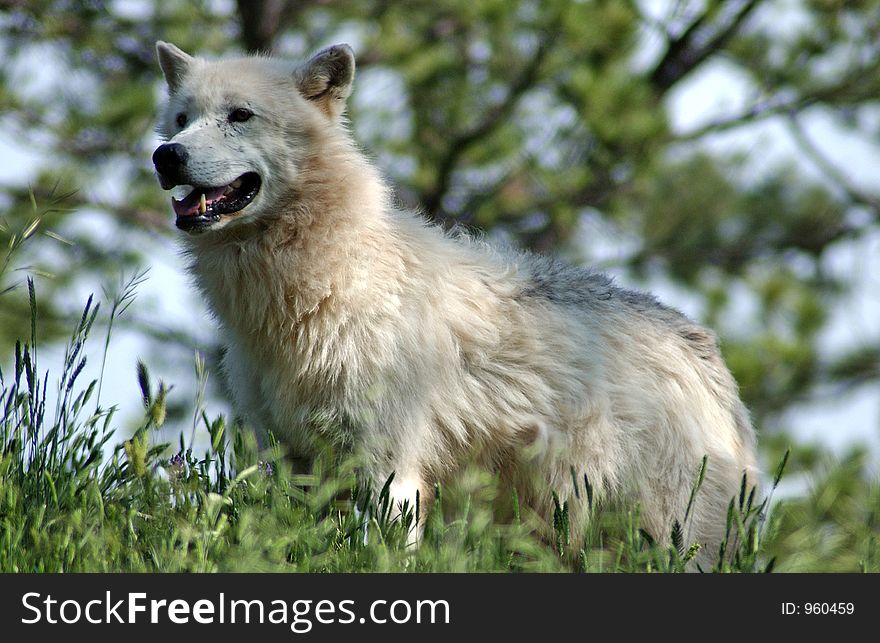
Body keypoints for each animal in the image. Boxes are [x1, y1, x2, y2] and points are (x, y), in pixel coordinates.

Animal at [153, 41, 756, 564]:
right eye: (181, 119)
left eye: (240, 115)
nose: (166, 156)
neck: (322, 287)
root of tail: (706, 353)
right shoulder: (293, 460)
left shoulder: (389, 467)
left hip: (663, 535)